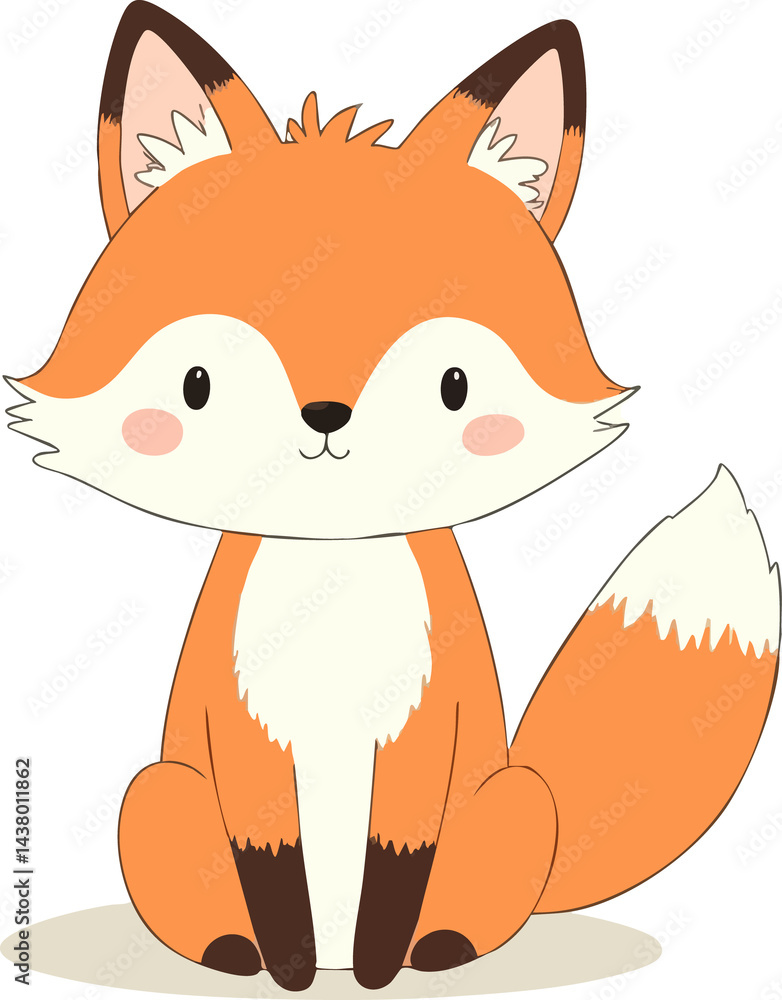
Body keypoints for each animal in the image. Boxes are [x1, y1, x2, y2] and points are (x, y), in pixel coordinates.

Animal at [6, 2, 781, 992]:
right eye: (197, 385)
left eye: (454, 385)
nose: (326, 416)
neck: (334, 586)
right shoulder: (244, 736)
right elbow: (269, 863)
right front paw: (291, 967)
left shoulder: (423, 734)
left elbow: (397, 861)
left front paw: (379, 966)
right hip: (158, 792)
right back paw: (234, 952)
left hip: (512, 799)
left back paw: (438, 948)